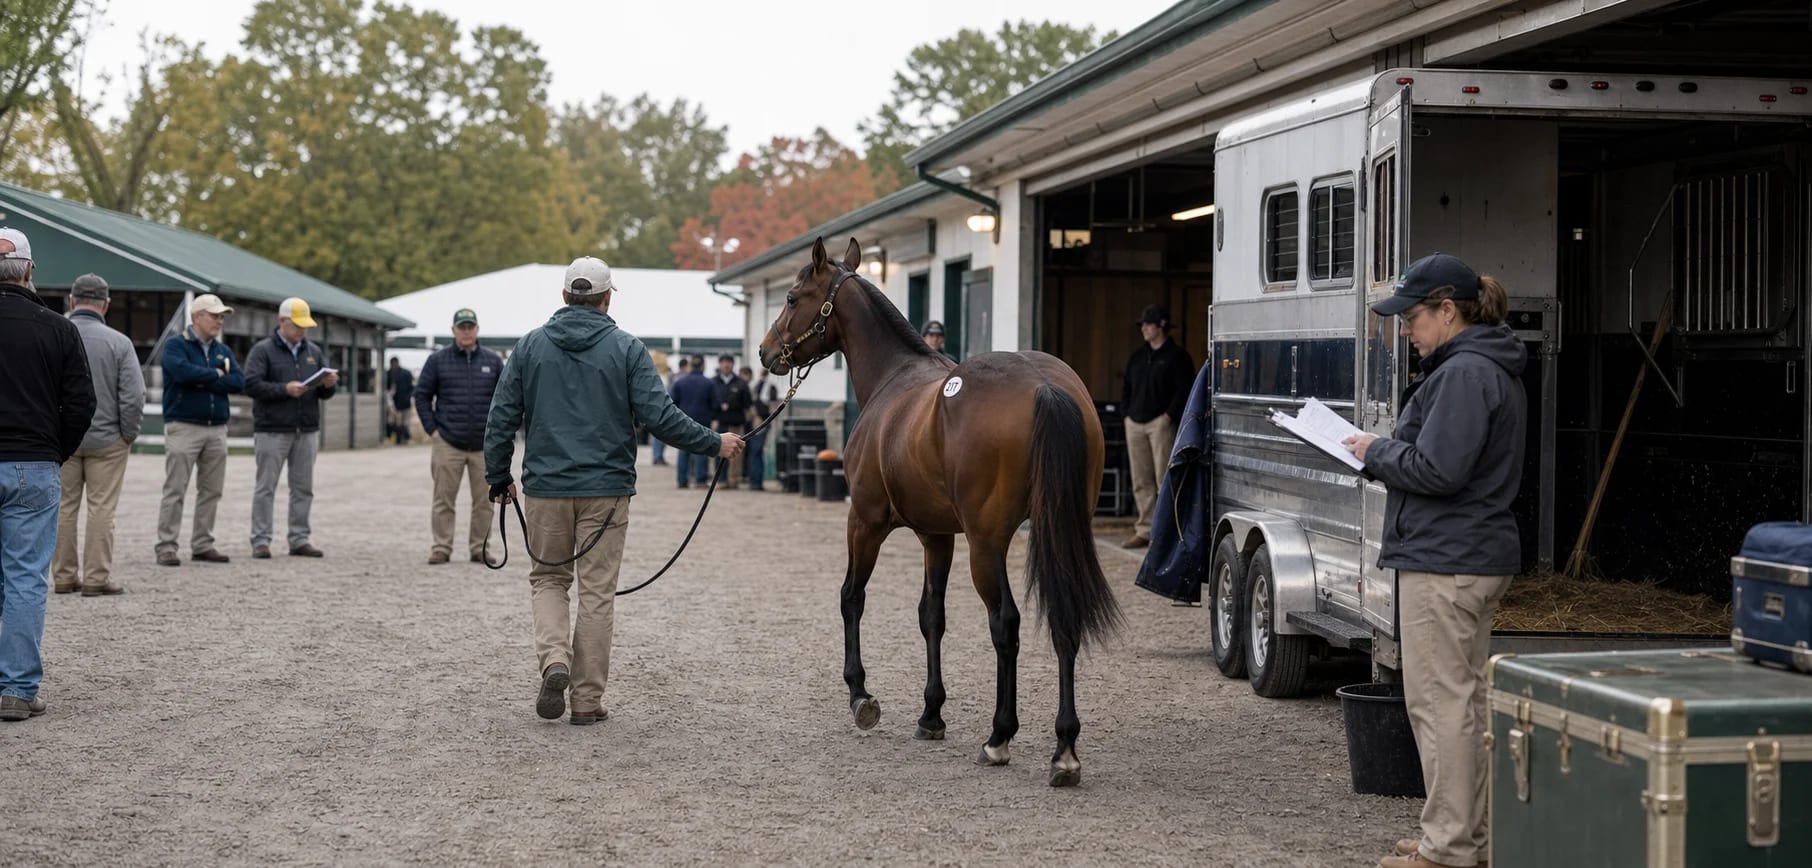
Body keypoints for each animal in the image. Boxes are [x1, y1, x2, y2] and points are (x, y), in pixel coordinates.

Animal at [758, 237, 1122, 787]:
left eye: (793, 296)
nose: (764, 351)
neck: (893, 381)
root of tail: (1044, 385)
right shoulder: (937, 535)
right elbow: (932, 616)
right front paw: (931, 713)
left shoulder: (865, 522)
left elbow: (851, 598)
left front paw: (861, 695)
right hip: (1057, 530)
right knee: (1063, 616)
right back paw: (1064, 748)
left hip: (987, 544)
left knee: (1005, 624)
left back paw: (999, 737)